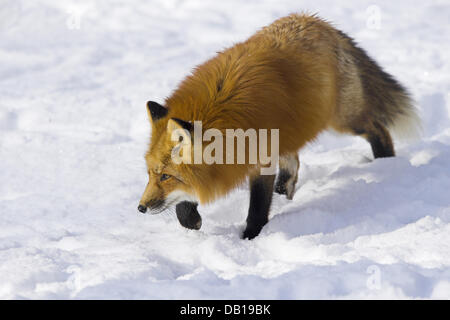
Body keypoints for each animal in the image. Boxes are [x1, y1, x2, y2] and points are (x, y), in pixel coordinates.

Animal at [139, 13, 420, 239]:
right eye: (151, 174)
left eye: (166, 176)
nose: (140, 208)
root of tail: (316, 20)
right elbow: (185, 200)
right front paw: (191, 219)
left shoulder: (261, 159)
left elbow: (257, 207)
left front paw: (250, 238)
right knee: (293, 164)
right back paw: (285, 194)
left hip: (344, 120)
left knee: (378, 129)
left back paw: (386, 164)